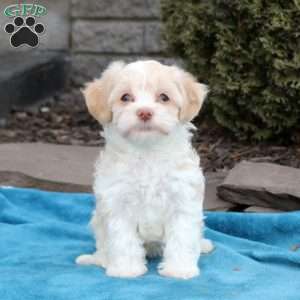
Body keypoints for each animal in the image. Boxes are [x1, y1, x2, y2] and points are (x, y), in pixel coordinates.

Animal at [76, 60, 214, 278]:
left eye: (164, 97)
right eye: (125, 97)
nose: (144, 112)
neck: (147, 152)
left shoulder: (182, 202)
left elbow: (182, 238)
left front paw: (179, 270)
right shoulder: (117, 204)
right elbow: (123, 241)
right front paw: (126, 270)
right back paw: (100, 258)